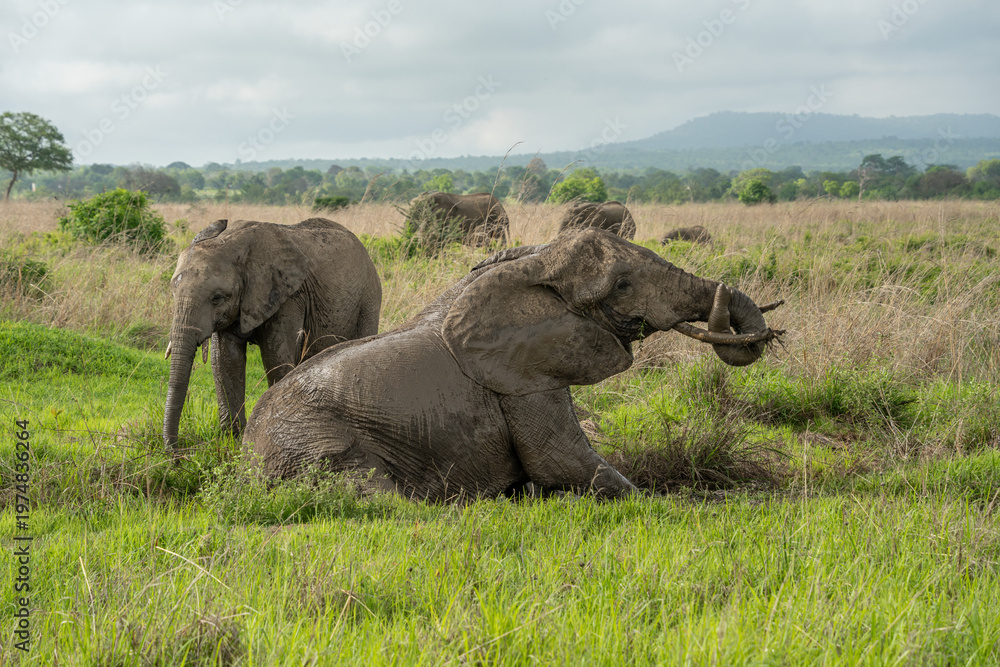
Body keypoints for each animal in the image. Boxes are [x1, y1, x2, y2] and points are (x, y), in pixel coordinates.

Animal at [163, 217, 382, 449]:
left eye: (217, 298)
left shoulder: (289, 296)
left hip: (368, 300)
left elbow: (275, 357)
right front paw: (234, 440)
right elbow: (225, 361)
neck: (231, 243)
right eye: (173, 292)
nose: (174, 452)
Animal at [243, 228, 783, 501]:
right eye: (623, 284)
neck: (532, 262)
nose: (767, 332)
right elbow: (562, 460)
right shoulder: (520, 383)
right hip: (311, 442)